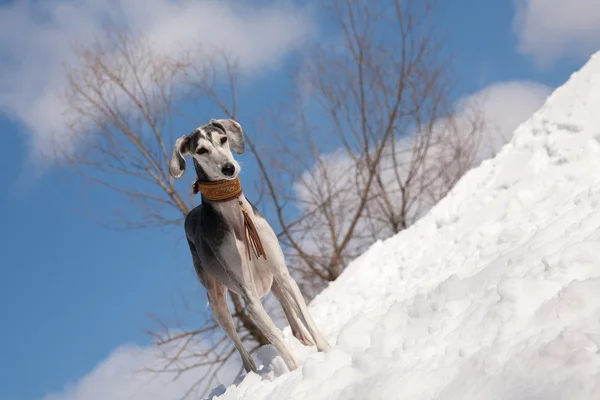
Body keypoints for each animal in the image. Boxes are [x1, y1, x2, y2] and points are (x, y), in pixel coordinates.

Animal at [169, 118, 330, 372]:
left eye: (223, 139)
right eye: (201, 150)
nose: (228, 168)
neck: (236, 216)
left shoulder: (283, 274)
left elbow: (304, 314)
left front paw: (328, 352)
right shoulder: (249, 297)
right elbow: (274, 335)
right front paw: (294, 372)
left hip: (273, 281)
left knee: (293, 318)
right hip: (217, 303)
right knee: (241, 347)